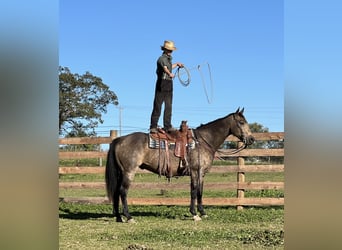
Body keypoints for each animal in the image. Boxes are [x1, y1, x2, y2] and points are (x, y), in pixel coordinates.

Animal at [105, 106, 255, 222]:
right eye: (241, 122)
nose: (252, 139)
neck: (203, 141)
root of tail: (119, 139)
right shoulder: (195, 171)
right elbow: (194, 191)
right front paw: (195, 215)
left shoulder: (201, 174)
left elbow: (200, 192)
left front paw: (203, 213)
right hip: (129, 171)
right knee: (123, 191)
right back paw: (129, 217)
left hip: (121, 172)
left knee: (116, 192)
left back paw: (119, 217)